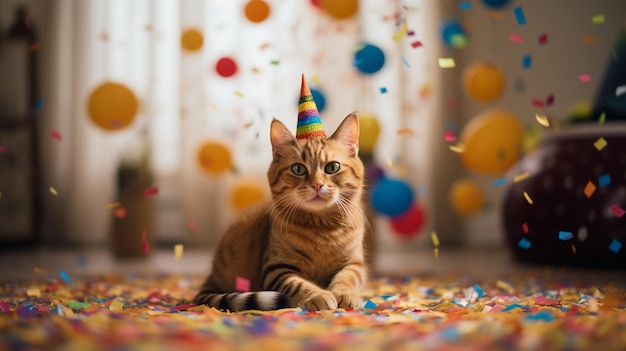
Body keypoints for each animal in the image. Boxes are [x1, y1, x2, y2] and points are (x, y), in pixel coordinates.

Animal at [191, 112, 366, 310]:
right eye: (298, 169)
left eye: (332, 167)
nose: (317, 185)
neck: (321, 227)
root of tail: (212, 275)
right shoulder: (276, 269)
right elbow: (298, 284)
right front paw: (318, 295)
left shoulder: (355, 264)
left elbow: (347, 277)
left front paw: (343, 293)